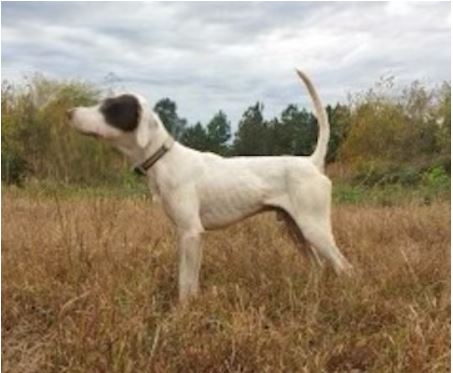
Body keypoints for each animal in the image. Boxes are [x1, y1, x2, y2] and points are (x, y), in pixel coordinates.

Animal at [65, 70, 352, 300]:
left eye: (109, 108)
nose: (69, 112)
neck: (165, 159)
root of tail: (312, 162)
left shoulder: (192, 233)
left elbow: (186, 284)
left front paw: (182, 314)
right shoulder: (184, 235)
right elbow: (188, 281)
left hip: (314, 228)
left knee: (344, 267)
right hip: (295, 229)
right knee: (318, 266)